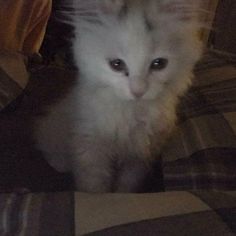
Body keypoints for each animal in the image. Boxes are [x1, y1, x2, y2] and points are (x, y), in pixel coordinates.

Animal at [34, 0, 203, 192]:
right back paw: (61, 163)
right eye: (116, 64)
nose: (138, 91)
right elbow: (93, 186)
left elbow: (127, 184)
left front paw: (122, 195)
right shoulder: (90, 149)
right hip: (54, 131)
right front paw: (95, 196)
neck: (132, 111)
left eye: (159, 63)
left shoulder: (140, 155)